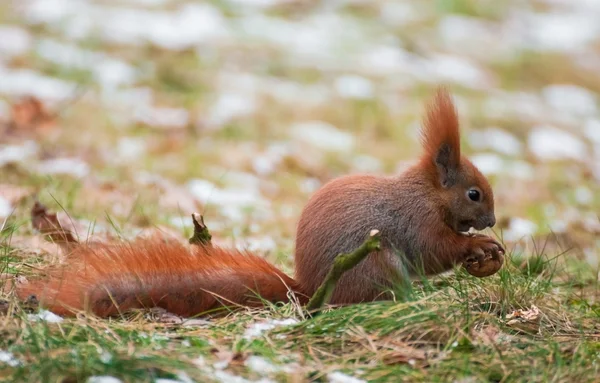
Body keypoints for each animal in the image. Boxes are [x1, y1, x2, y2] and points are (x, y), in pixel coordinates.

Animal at [15, 88, 502, 320]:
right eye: (473, 194)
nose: (493, 221)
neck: (428, 194)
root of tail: (309, 289)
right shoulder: (416, 222)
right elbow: (434, 250)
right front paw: (477, 249)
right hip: (376, 266)